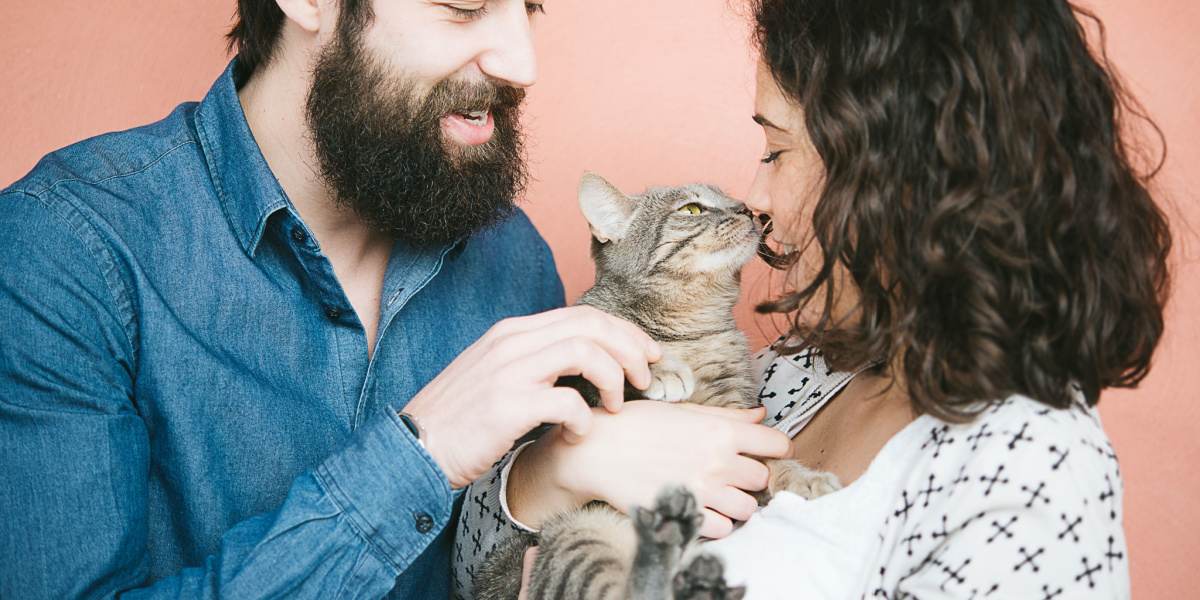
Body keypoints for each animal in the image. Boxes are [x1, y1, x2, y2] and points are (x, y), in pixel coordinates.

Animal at [470, 174, 835, 600]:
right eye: (692, 208)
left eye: (732, 199)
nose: (747, 209)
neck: (690, 326)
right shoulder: (580, 371)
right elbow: (624, 353)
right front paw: (659, 368)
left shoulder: (735, 412)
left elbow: (769, 461)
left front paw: (804, 478)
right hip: (578, 532)